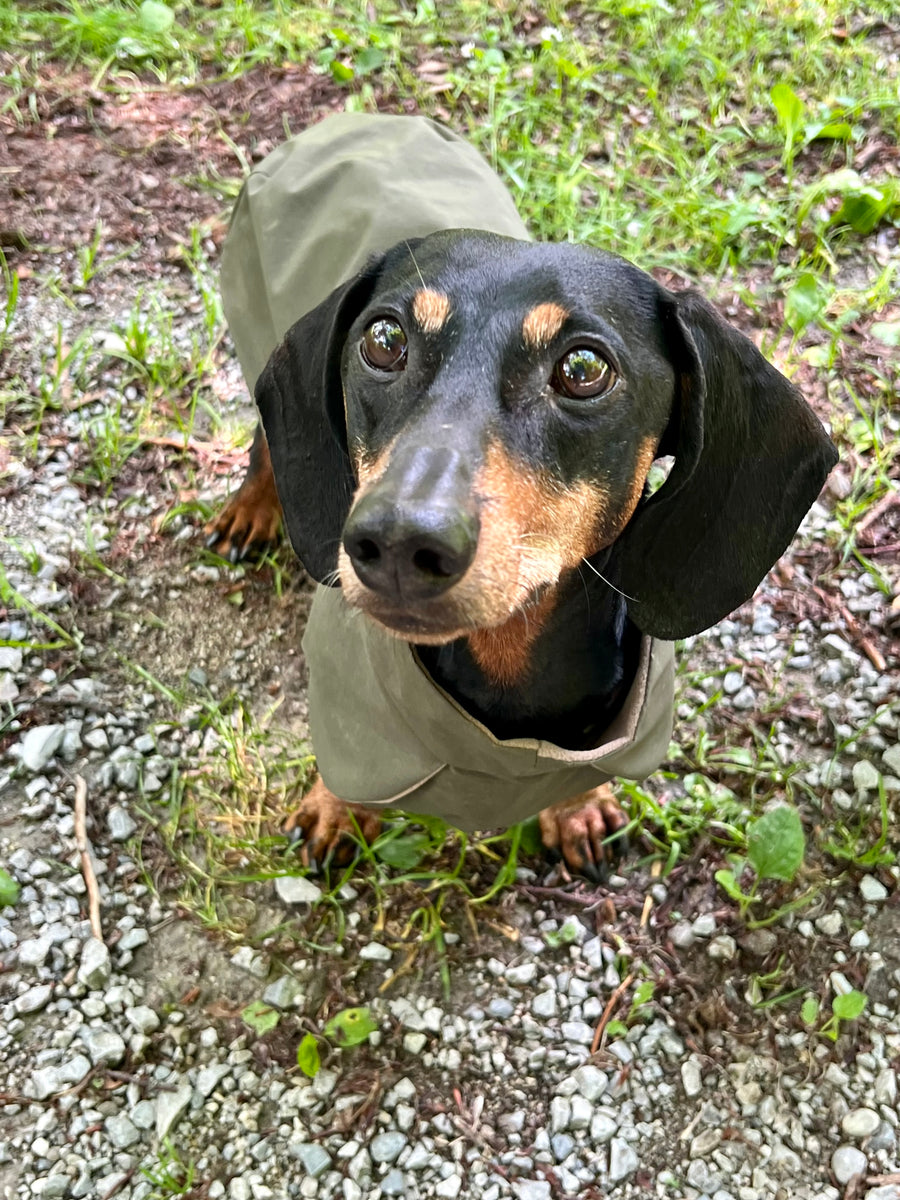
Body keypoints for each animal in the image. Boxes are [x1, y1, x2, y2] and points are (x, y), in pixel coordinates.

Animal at [206, 114, 840, 883]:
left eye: (584, 367)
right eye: (383, 339)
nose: (395, 544)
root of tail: (356, 118)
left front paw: (576, 809)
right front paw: (337, 809)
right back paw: (252, 509)